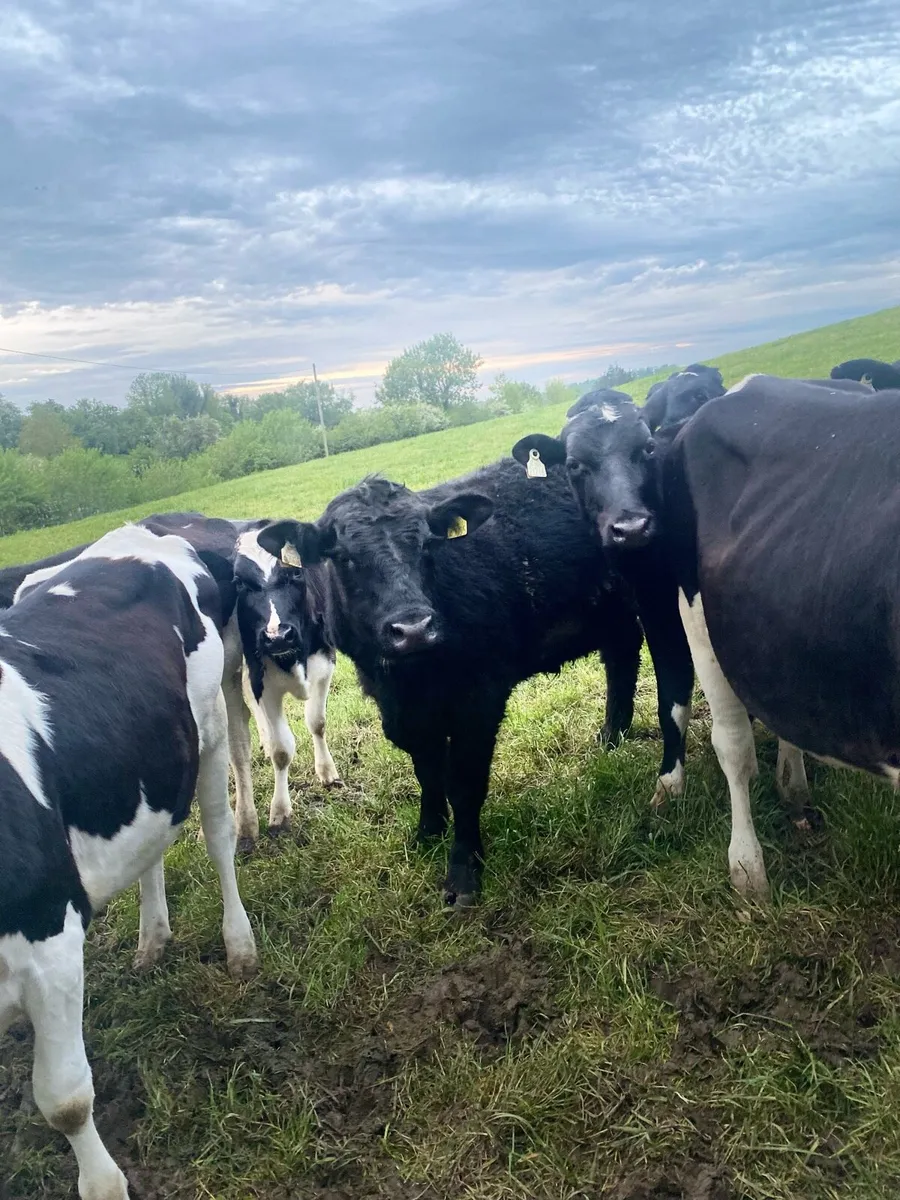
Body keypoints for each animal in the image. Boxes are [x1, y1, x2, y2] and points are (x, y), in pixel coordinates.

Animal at [0, 512, 341, 850]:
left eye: (294, 575)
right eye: (241, 583)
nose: (276, 635)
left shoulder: (321, 664)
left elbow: (316, 722)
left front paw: (326, 774)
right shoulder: (260, 677)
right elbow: (280, 748)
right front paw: (276, 814)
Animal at [0, 524, 257, 1200]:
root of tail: (138, 532)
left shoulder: (49, 937)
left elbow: (65, 1100)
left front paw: (103, 1185)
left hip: (209, 729)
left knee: (218, 837)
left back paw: (239, 943)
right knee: (151, 850)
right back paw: (153, 939)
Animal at [255, 460, 655, 907]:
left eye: (428, 545)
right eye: (344, 557)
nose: (413, 628)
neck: (414, 677)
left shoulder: (479, 699)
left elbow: (463, 783)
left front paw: (463, 871)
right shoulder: (396, 705)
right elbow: (427, 770)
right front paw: (428, 832)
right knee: (621, 655)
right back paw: (611, 735)